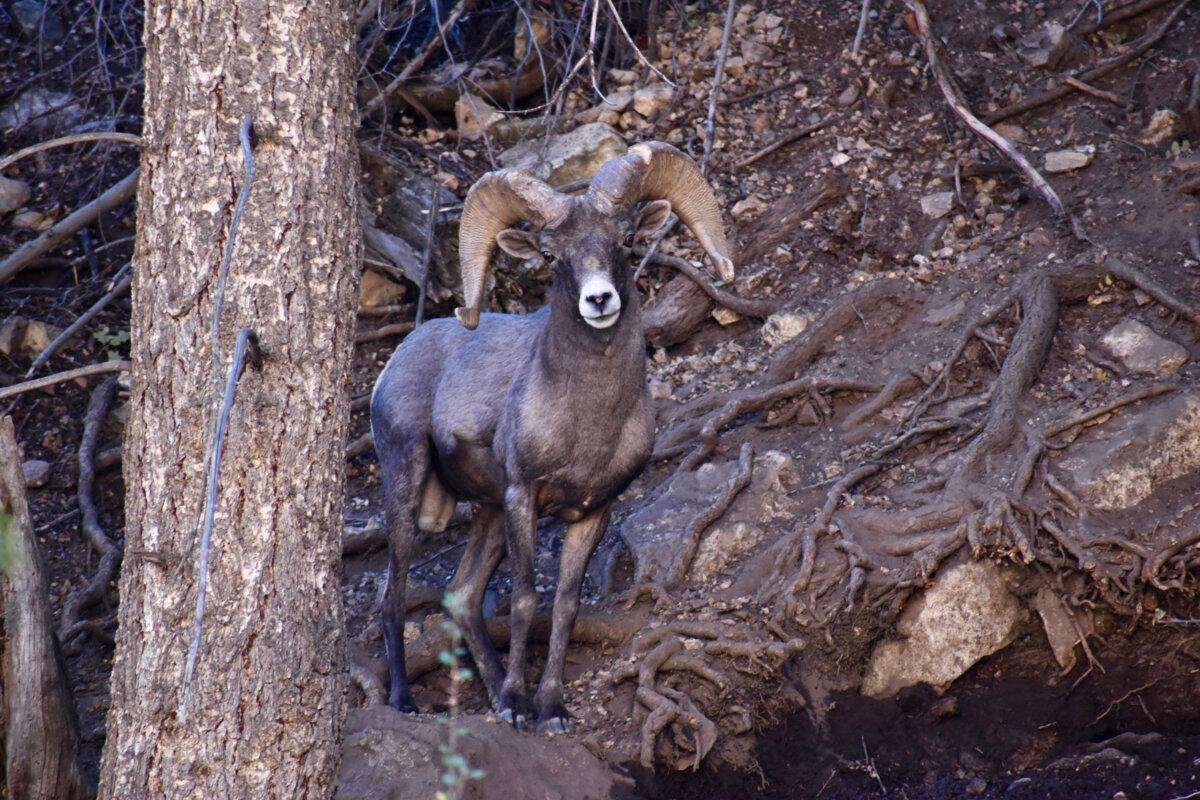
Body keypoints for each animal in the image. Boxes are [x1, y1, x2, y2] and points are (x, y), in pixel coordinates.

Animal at [370, 141, 734, 732]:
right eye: (552, 255)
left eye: (624, 241)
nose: (599, 300)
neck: (588, 423)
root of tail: (395, 362)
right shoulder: (525, 498)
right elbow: (523, 600)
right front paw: (518, 707)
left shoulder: (592, 511)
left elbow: (564, 605)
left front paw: (550, 710)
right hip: (408, 483)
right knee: (393, 596)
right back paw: (407, 701)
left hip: (488, 512)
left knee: (462, 596)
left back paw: (493, 688)